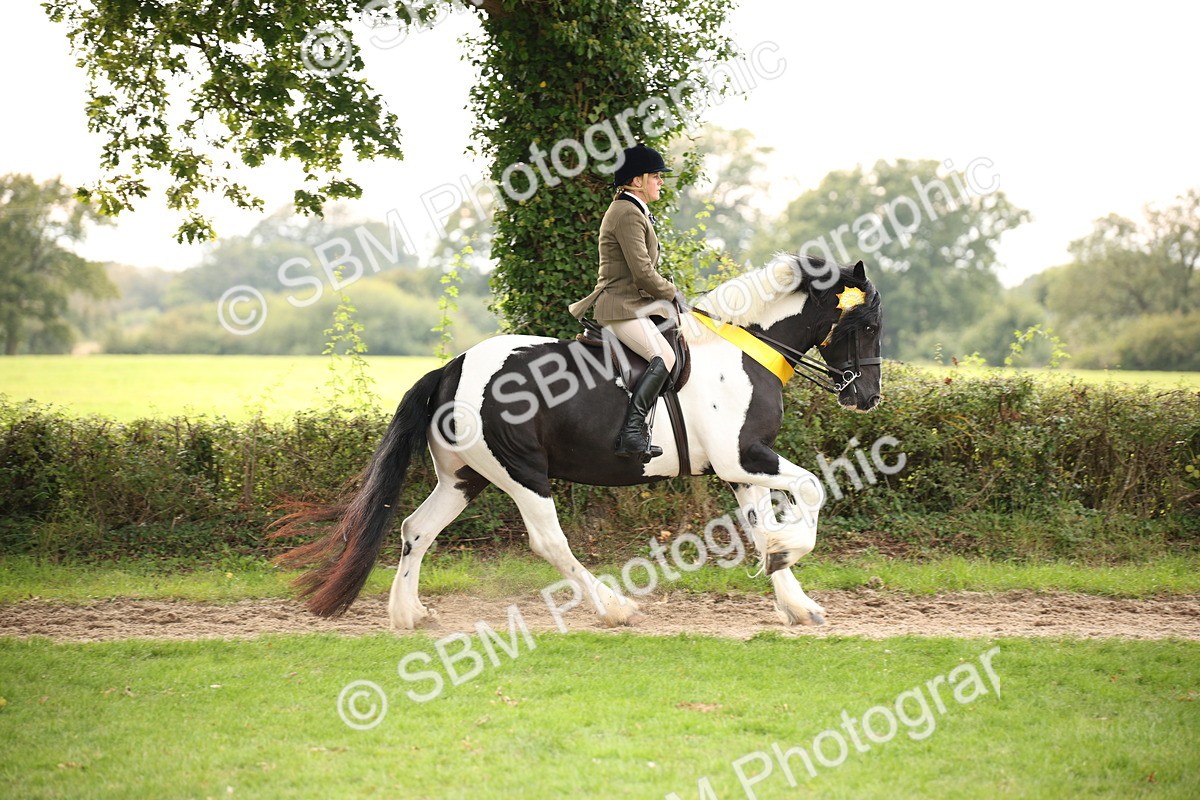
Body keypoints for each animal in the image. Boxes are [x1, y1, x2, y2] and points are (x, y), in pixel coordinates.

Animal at [273, 255, 883, 630]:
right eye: (870, 326)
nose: (867, 398)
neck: (743, 349)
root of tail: (452, 368)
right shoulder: (747, 458)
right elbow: (811, 490)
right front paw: (790, 553)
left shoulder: (740, 469)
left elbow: (762, 531)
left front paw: (796, 601)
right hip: (522, 472)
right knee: (549, 542)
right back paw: (613, 608)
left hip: (465, 478)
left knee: (415, 529)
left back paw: (409, 614)